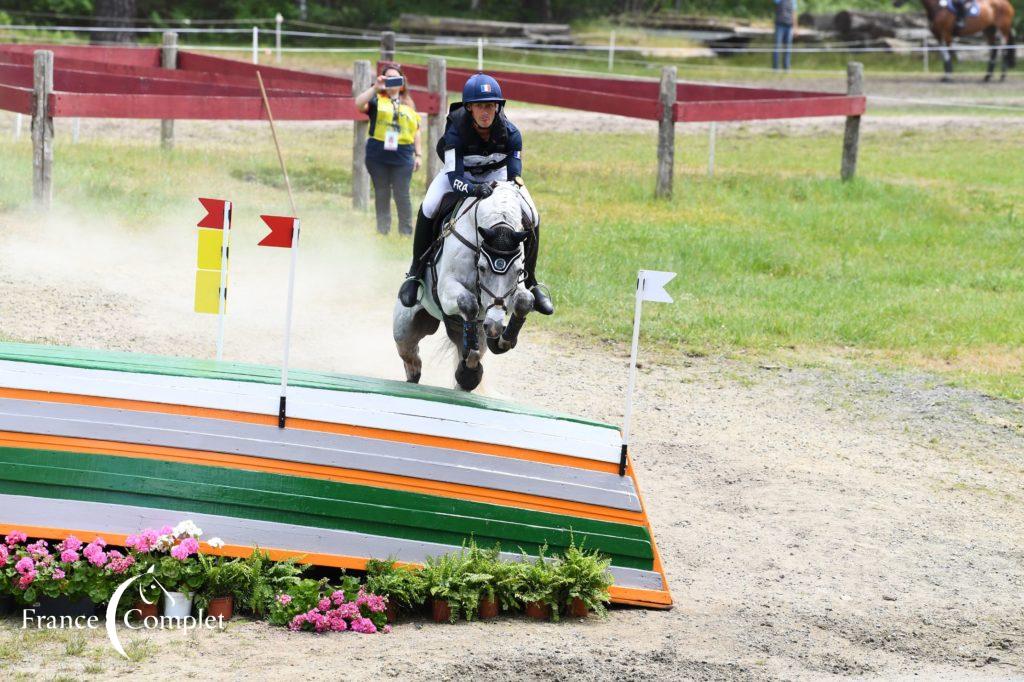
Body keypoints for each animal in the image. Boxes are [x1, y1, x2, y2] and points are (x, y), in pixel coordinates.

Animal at [389, 180, 540, 391]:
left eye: (519, 271)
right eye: (482, 268)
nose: (494, 327)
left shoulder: (507, 294)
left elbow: (525, 300)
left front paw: (504, 339)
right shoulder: (446, 287)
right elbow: (467, 302)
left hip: (473, 332)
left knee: (469, 357)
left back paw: (469, 371)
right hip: (405, 329)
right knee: (411, 358)